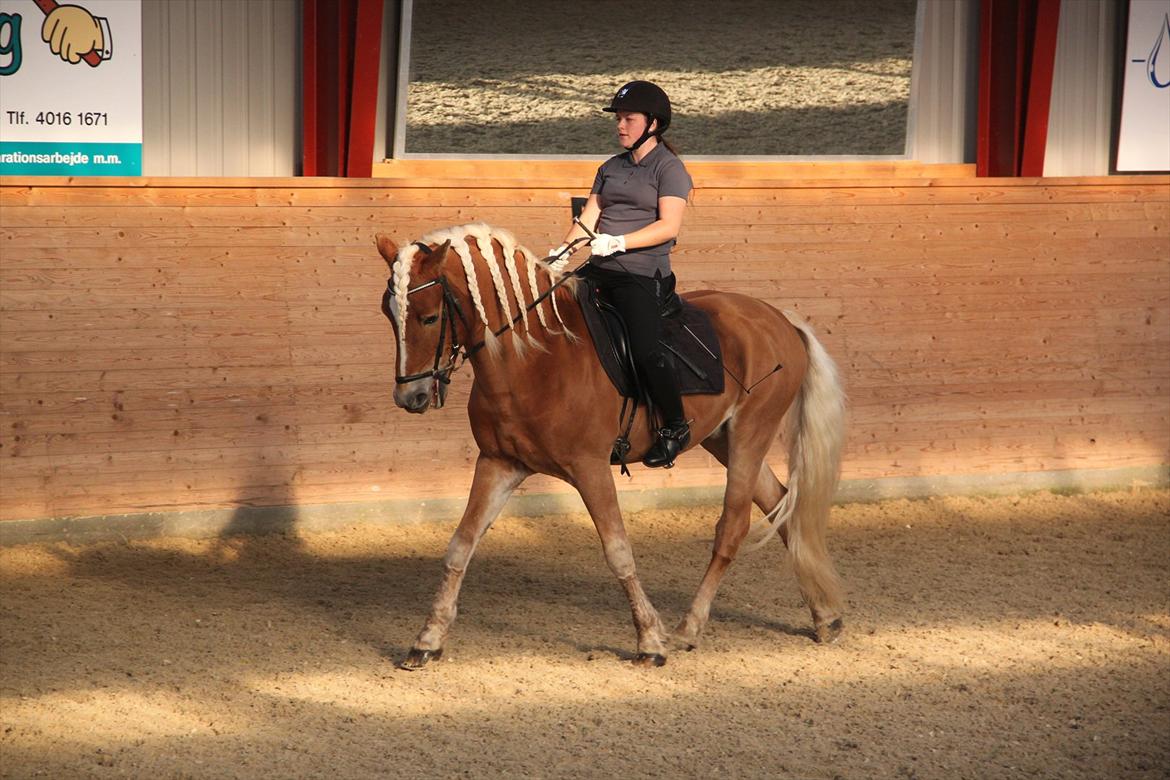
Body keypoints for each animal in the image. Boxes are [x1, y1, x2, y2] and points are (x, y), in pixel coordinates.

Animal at [379, 222, 847, 668]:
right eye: (389, 314)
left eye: (429, 317)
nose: (409, 397)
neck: (534, 359)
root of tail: (779, 318)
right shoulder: (499, 463)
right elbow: (460, 546)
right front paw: (427, 640)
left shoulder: (590, 468)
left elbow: (618, 551)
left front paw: (651, 642)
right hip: (722, 439)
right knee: (780, 504)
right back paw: (825, 616)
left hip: (751, 433)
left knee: (734, 526)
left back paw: (689, 627)